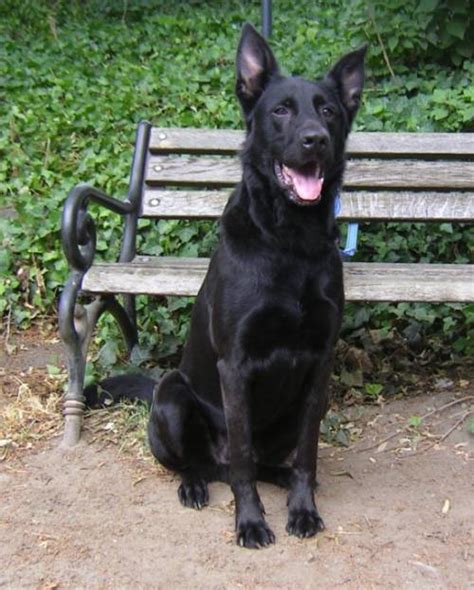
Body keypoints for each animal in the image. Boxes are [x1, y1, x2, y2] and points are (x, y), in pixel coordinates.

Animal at [90, 24, 368, 552]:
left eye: (328, 110)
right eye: (281, 110)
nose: (316, 140)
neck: (290, 242)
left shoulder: (319, 363)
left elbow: (307, 453)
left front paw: (302, 508)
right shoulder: (235, 365)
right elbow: (240, 458)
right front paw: (251, 522)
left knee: (269, 461)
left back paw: (281, 477)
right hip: (173, 395)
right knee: (204, 463)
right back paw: (195, 484)